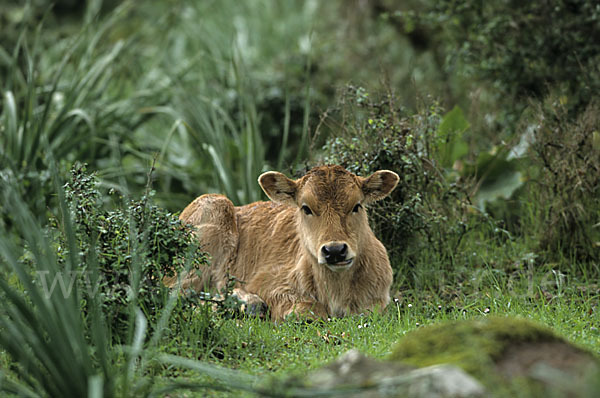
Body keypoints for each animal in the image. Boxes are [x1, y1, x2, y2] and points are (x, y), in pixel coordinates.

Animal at [173, 165, 398, 320]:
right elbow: (308, 310)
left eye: (357, 205)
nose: (334, 250)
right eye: (305, 208)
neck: (337, 292)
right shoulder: (267, 282)